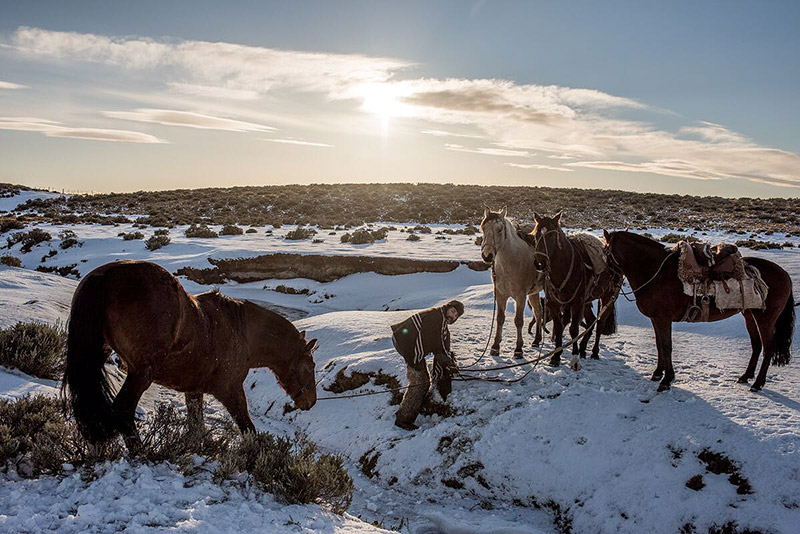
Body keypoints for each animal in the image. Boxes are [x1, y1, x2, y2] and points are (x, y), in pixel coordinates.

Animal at [63, 262, 318, 450]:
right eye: (309, 366)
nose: (311, 402)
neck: (242, 332)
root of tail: (104, 277)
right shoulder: (230, 390)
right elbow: (247, 428)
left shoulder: (194, 391)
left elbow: (196, 427)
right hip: (141, 373)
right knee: (123, 411)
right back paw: (141, 453)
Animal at [478, 207, 548, 358]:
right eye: (483, 228)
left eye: (499, 229)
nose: (487, 256)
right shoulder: (500, 295)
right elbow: (500, 318)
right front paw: (495, 347)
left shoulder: (520, 297)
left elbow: (518, 321)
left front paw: (518, 349)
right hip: (533, 293)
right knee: (538, 311)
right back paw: (536, 340)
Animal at [608, 231, 792, 394]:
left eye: (607, 252)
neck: (654, 271)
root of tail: (784, 274)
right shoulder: (656, 319)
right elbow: (659, 344)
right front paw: (658, 373)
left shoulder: (663, 318)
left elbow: (667, 346)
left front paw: (667, 380)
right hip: (750, 315)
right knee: (756, 346)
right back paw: (745, 376)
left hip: (765, 320)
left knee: (768, 348)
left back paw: (757, 383)